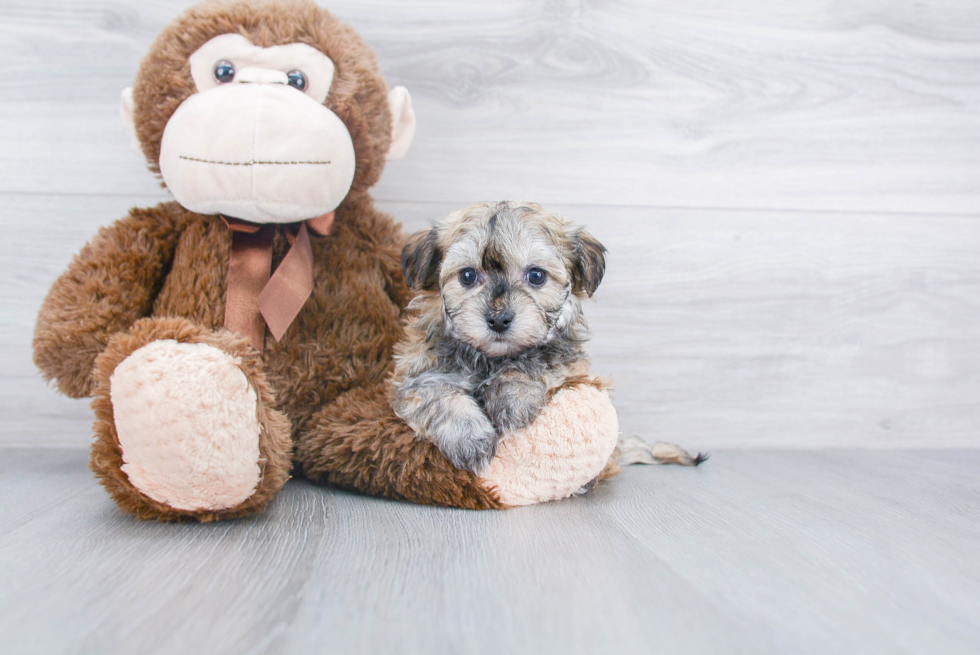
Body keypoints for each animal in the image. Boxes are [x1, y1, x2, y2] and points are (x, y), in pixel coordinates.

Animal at [388, 202, 604, 474]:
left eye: (537, 276)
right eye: (467, 276)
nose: (499, 319)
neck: (488, 359)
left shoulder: (571, 366)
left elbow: (537, 362)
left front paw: (513, 395)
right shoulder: (414, 376)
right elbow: (437, 395)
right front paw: (468, 437)